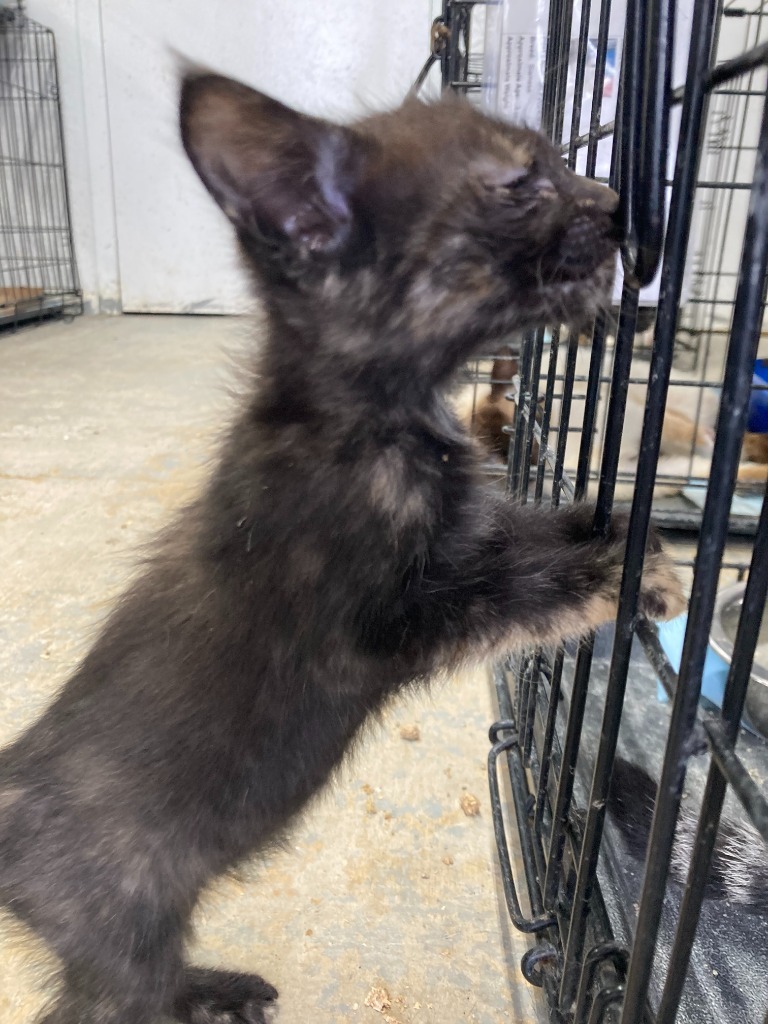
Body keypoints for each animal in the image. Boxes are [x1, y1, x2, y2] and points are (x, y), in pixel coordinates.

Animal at [0, 74, 684, 1024]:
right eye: (519, 183)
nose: (618, 203)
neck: (361, 418)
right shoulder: (382, 625)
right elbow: (515, 591)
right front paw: (624, 573)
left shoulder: (472, 534)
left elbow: (530, 536)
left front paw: (628, 527)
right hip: (117, 924)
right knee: (108, 1000)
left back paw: (218, 989)